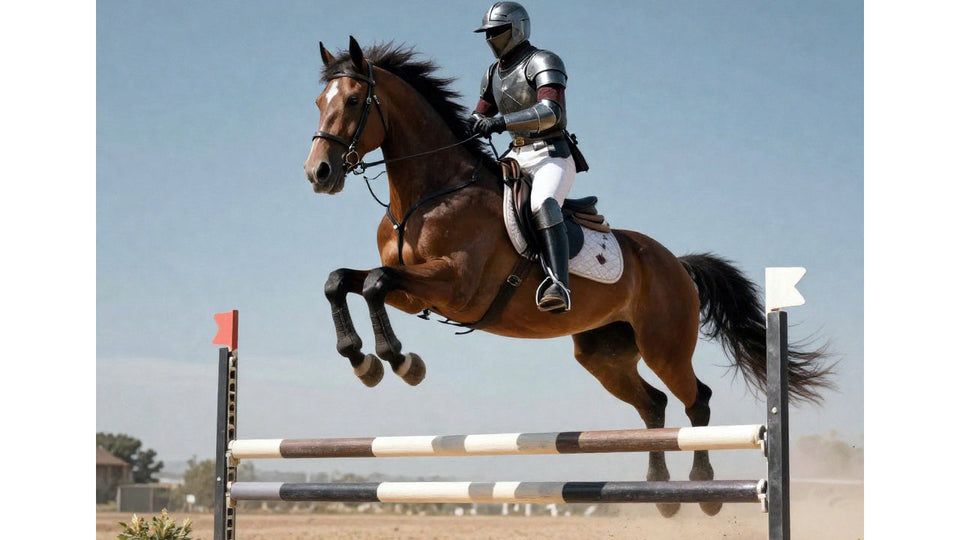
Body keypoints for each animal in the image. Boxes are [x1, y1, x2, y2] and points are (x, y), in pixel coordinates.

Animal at [303, 37, 832, 517]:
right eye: (319, 102)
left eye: (353, 101)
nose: (318, 173)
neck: (429, 193)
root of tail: (677, 264)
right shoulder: (414, 292)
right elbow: (341, 280)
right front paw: (362, 359)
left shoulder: (455, 286)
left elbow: (374, 282)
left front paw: (398, 361)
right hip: (603, 354)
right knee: (653, 404)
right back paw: (660, 492)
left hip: (664, 345)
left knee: (694, 400)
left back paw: (702, 489)